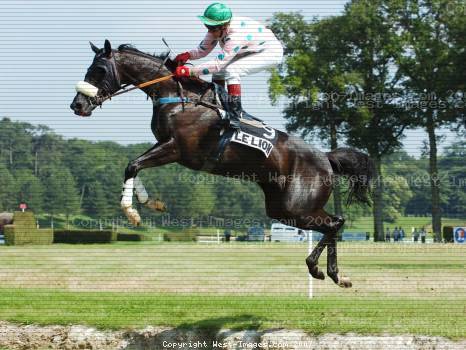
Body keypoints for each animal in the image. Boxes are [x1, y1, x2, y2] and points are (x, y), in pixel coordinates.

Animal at [70, 40, 374, 288]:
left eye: (99, 70)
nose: (77, 105)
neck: (178, 97)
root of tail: (326, 158)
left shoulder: (175, 149)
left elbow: (132, 165)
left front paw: (132, 211)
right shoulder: (166, 147)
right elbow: (133, 165)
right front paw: (149, 202)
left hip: (296, 206)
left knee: (335, 223)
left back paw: (321, 270)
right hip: (283, 207)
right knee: (334, 222)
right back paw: (335, 274)